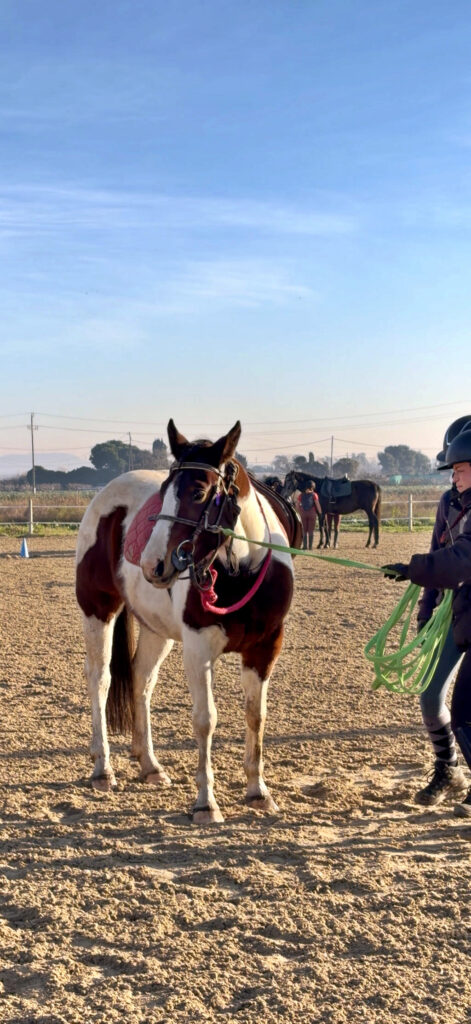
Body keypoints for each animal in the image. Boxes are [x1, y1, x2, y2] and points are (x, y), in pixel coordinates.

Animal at [75, 419, 302, 825]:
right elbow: (205, 719)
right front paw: (205, 802)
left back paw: (150, 765)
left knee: (141, 681)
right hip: (97, 610)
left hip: (156, 629)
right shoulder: (199, 649)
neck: (241, 570)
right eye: (164, 491)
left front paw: (258, 792)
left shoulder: (265, 648)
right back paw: (103, 768)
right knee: (100, 679)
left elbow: (255, 716)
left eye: (198, 492)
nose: (152, 563)